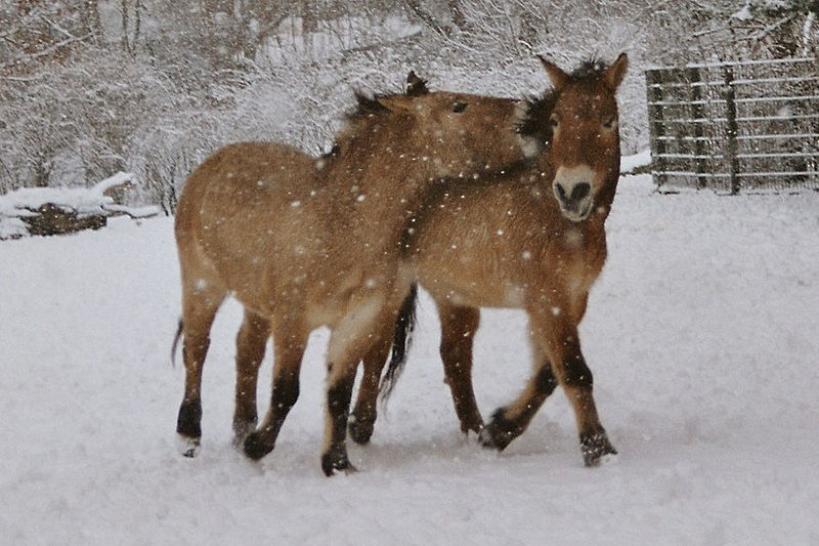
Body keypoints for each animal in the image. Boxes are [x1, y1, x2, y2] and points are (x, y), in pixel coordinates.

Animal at [171, 79, 540, 472]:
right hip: (202, 284)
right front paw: (259, 446)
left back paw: (242, 428)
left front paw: (336, 462)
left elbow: (339, 390)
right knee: (197, 348)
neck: (345, 222)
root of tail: (210, 163)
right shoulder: (292, 320)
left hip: (255, 302)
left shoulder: (359, 319)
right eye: (458, 106)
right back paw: (189, 435)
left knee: (247, 351)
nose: (527, 112)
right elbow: (287, 390)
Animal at [368, 54, 632, 464]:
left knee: (454, 358)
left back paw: (472, 430)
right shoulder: (548, 299)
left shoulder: (572, 299)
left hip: (455, 297)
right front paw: (597, 448)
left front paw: (500, 430)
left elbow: (548, 373)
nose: (573, 190)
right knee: (376, 354)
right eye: (556, 121)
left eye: (608, 120)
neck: (551, 214)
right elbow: (574, 371)